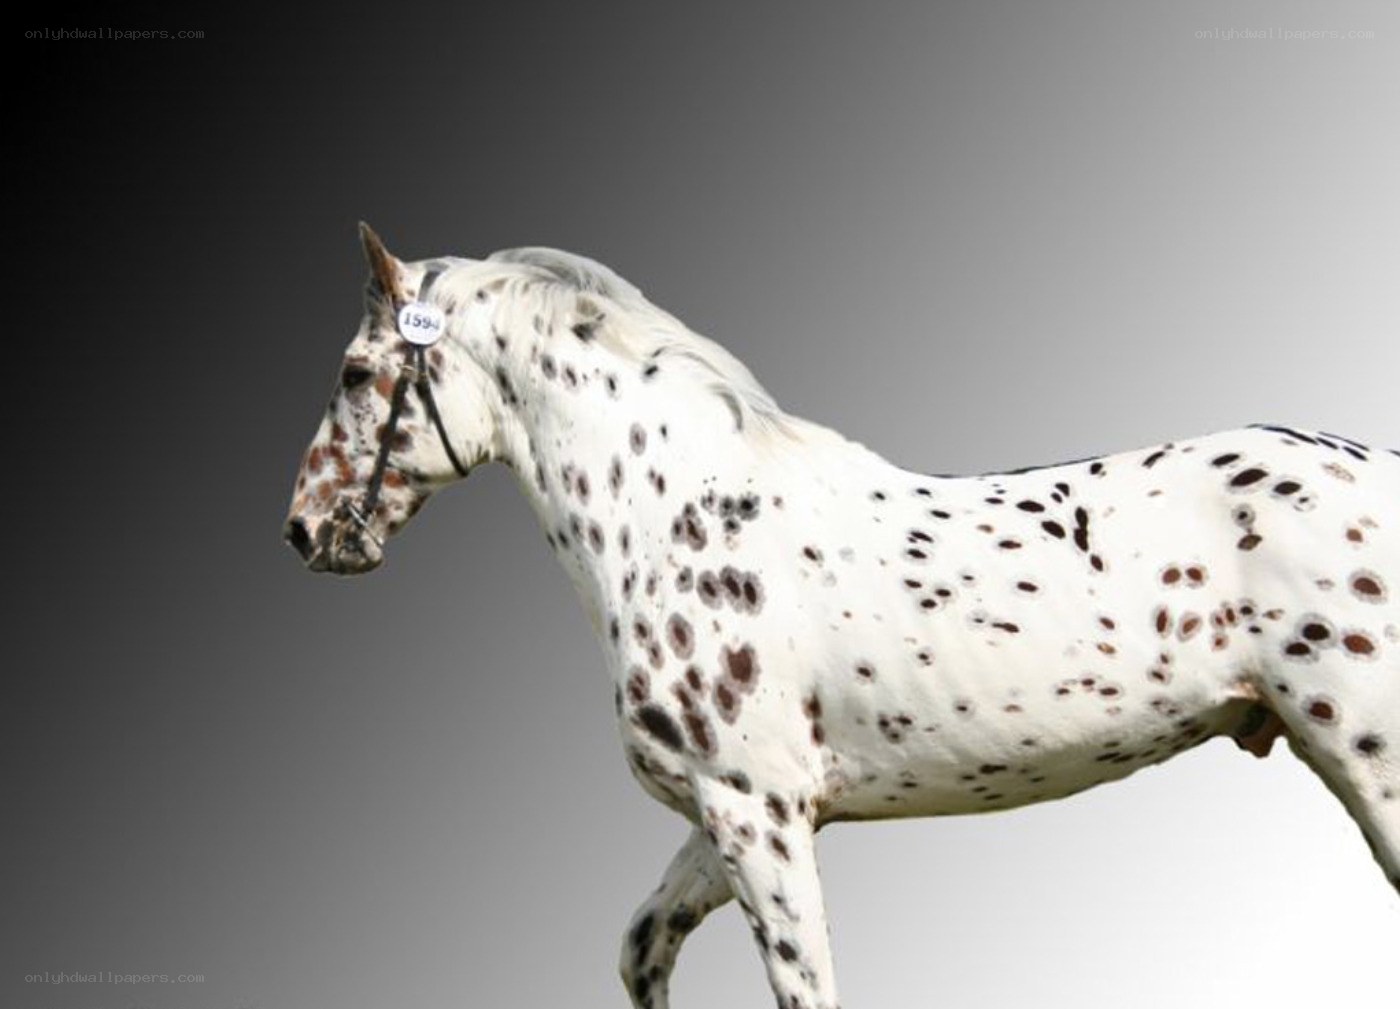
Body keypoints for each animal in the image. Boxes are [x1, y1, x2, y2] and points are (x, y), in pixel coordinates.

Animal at [284, 225, 1399, 1009]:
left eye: (353, 373)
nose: (304, 531)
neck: (677, 515)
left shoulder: (756, 813)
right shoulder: (724, 818)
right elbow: (642, 946)